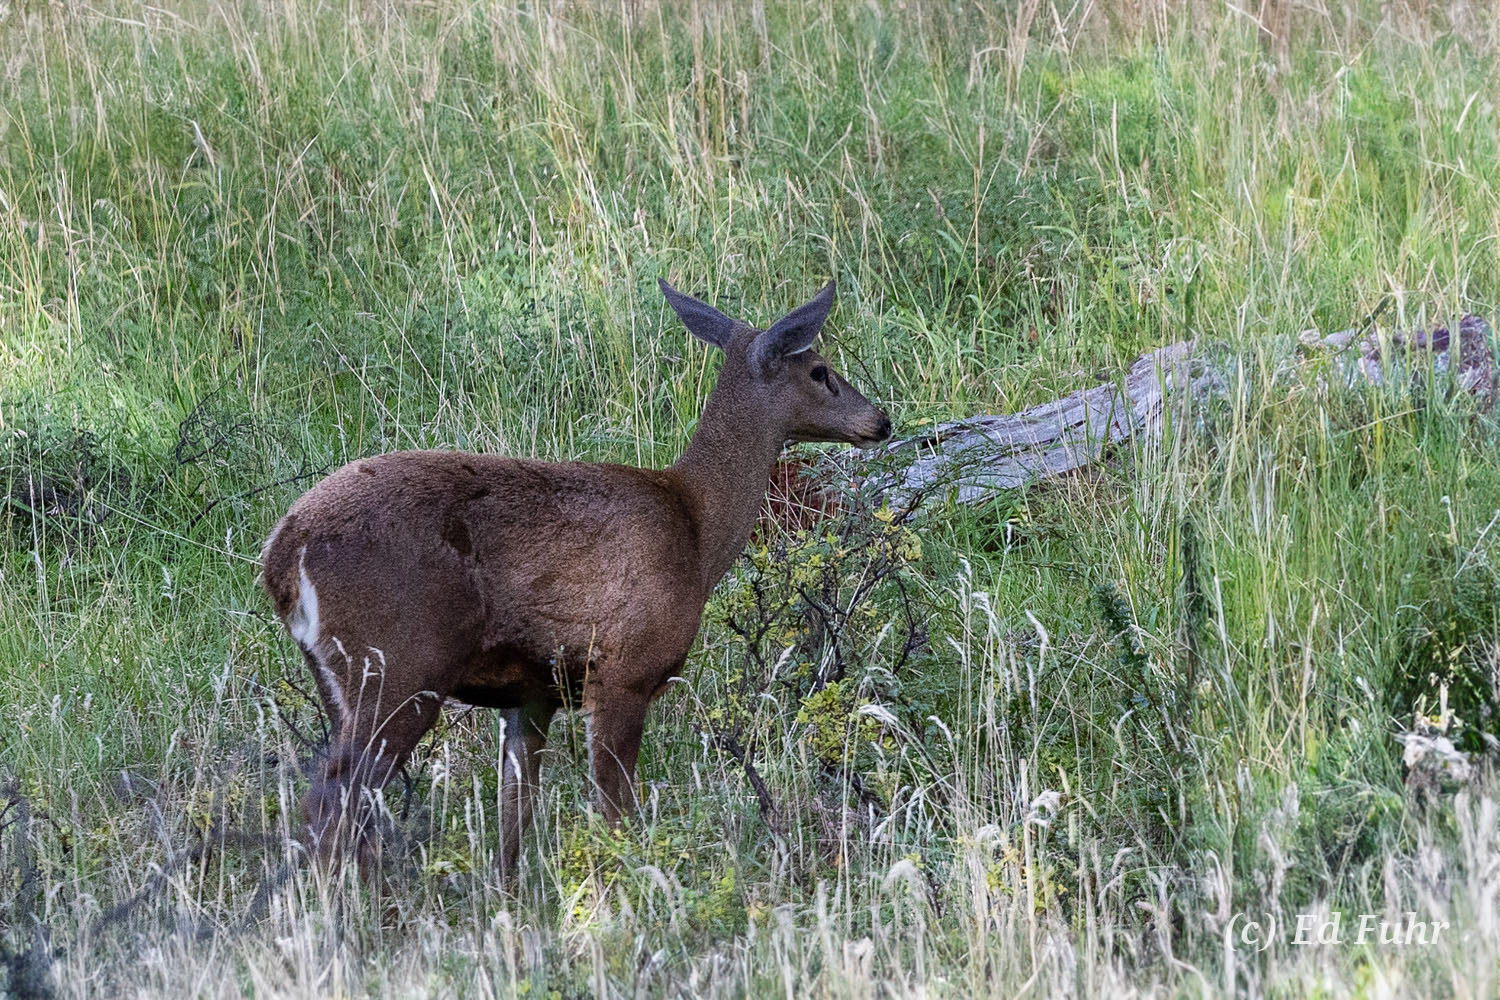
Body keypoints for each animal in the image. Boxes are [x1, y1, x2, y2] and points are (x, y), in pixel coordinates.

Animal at [259, 277, 892, 876]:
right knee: (332, 804)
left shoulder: (533, 692)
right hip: (395, 664)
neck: (694, 528)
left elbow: (514, 817)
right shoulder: (625, 670)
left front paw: (509, 898)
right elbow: (615, 811)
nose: (881, 420)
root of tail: (281, 555)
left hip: (337, 676)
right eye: (820, 370)